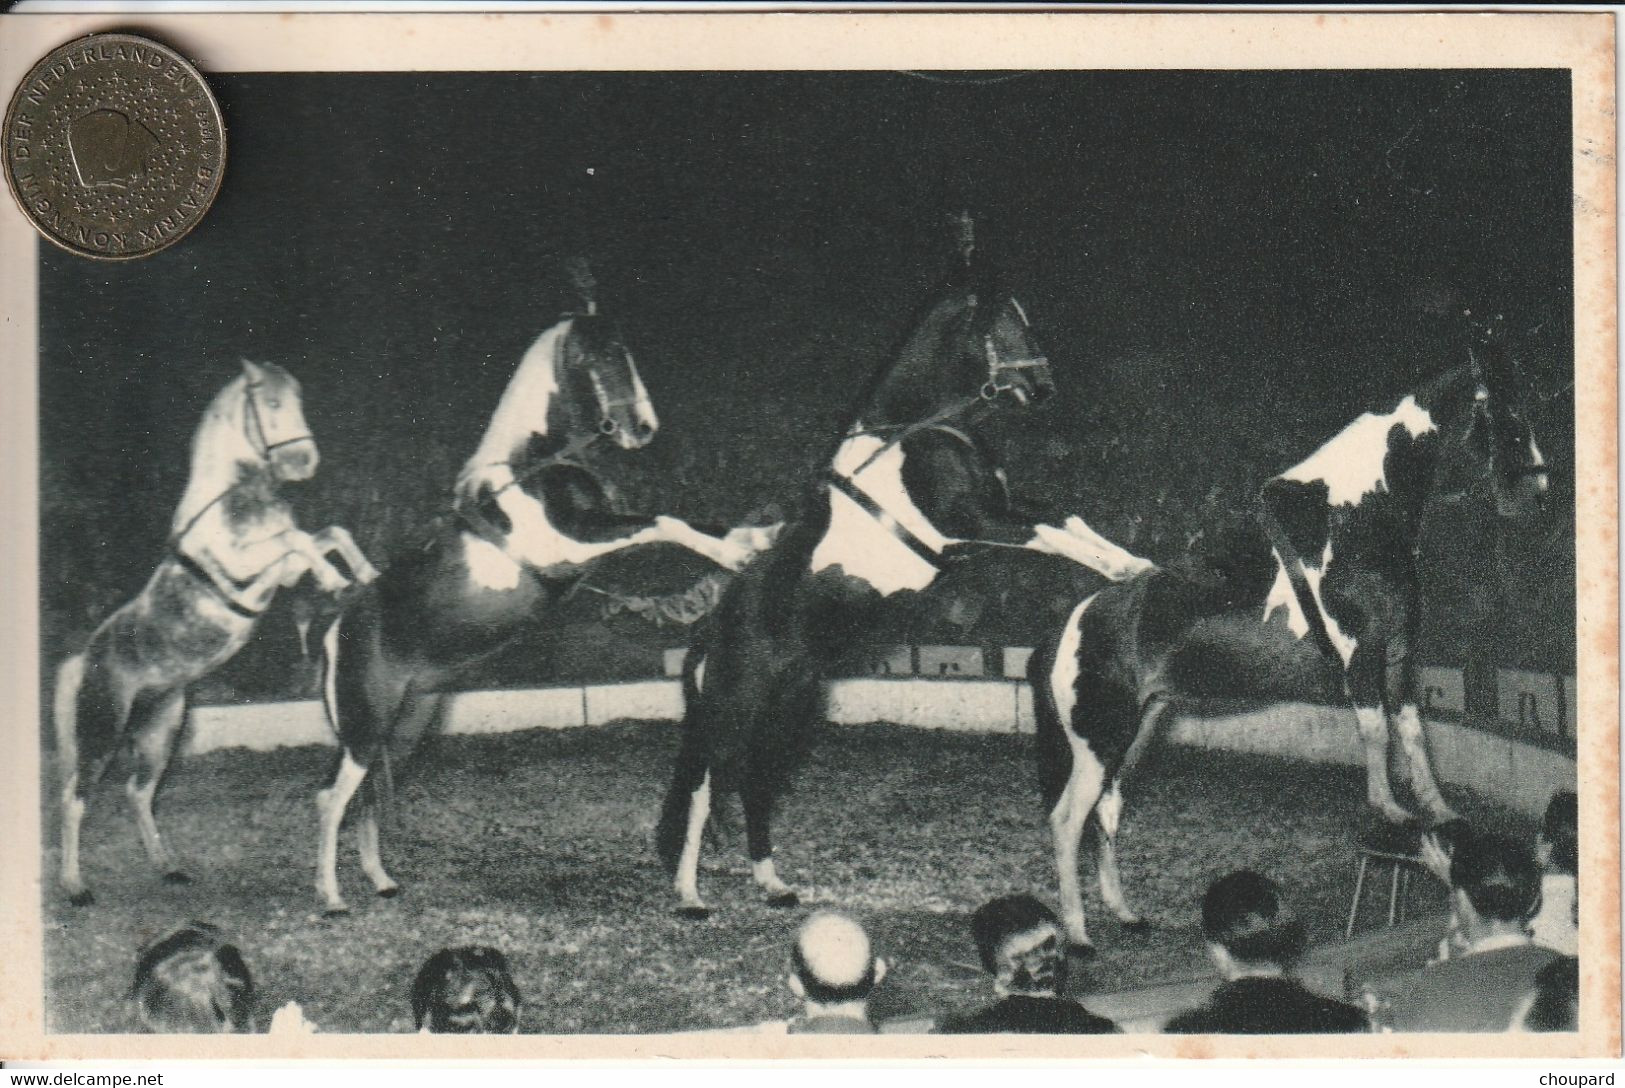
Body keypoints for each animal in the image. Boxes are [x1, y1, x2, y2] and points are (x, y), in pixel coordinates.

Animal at [55, 362, 375, 909]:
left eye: (299, 400)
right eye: (271, 404)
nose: (304, 462)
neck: (233, 498)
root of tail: (86, 658)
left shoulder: (281, 572)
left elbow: (327, 534)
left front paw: (363, 572)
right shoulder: (246, 568)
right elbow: (299, 538)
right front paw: (337, 580)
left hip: (161, 728)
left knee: (138, 793)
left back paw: (168, 867)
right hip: (102, 729)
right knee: (74, 798)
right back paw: (75, 887)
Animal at [320, 271, 776, 909]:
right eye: (610, 353)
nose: (643, 429)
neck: (530, 468)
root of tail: (338, 625)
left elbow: (683, 521)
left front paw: (754, 536)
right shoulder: (572, 547)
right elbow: (664, 523)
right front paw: (738, 550)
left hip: (405, 727)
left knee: (363, 798)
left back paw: (381, 881)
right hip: (364, 727)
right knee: (331, 799)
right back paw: (330, 897)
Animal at [653, 220, 1150, 922]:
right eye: (1008, 323)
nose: (1043, 389)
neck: (917, 430)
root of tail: (706, 638)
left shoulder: (997, 509)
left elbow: (1068, 519)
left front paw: (1132, 563)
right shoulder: (969, 522)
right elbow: (1052, 536)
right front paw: (1120, 568)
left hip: (787, 715)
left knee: (753, 784)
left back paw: (773, 885)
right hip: (732, 709)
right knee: (702, 787)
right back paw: (690, 895)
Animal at [1033, 311, 1553, 948]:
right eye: (1508, 412)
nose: (1537, 494)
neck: (1355, 516)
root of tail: (1070, 626)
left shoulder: (1401, 651)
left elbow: (1412, 732)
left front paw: (1438, 810)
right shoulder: (1361, 653)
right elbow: (1375, 731)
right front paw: (1392, 811)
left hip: (1135, 734)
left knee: (1106, 812)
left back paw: (1126, 914)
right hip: (1098, 741)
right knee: (1067, 821)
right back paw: (1080, 936)